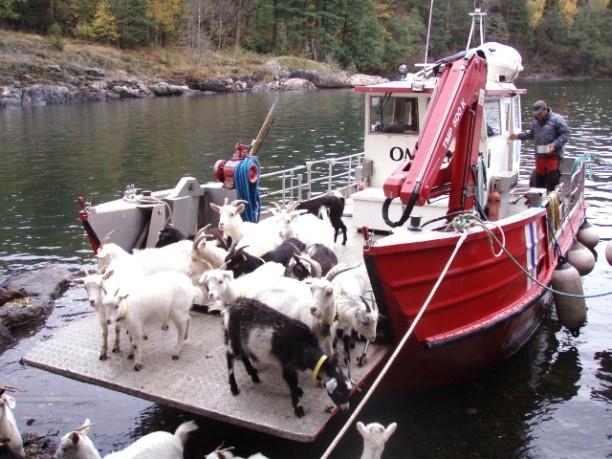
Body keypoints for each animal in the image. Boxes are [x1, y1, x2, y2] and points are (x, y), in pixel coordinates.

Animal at [222, 298, 352, 420]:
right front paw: (298, 409)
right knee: (229, 356)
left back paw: (254, 375)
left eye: (348, 392)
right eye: (339, 393)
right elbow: (292, 386)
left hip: (244, 343)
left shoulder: (291, 366)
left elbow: (295, 383)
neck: (305, 345)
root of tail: (231, 307)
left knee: (244, 356)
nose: (346, 409)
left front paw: (299, 391)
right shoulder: (287, 365)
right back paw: (234, 387)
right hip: (235, 340)